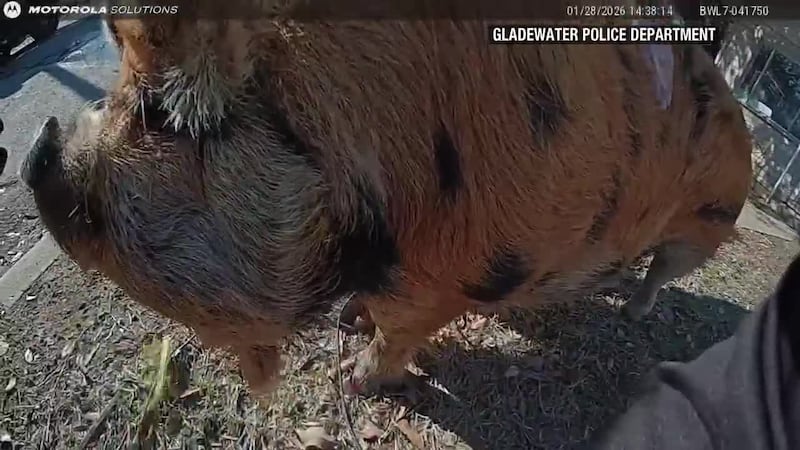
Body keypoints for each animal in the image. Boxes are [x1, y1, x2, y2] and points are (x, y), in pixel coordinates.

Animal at [19, 4, 752, 395]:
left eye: (157, 117)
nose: (35, 150)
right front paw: (351, 323)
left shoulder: (450, 276)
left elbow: (402, 333)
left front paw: (354, 377)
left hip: (709, 226)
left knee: (664, 271)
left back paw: (633, 312)